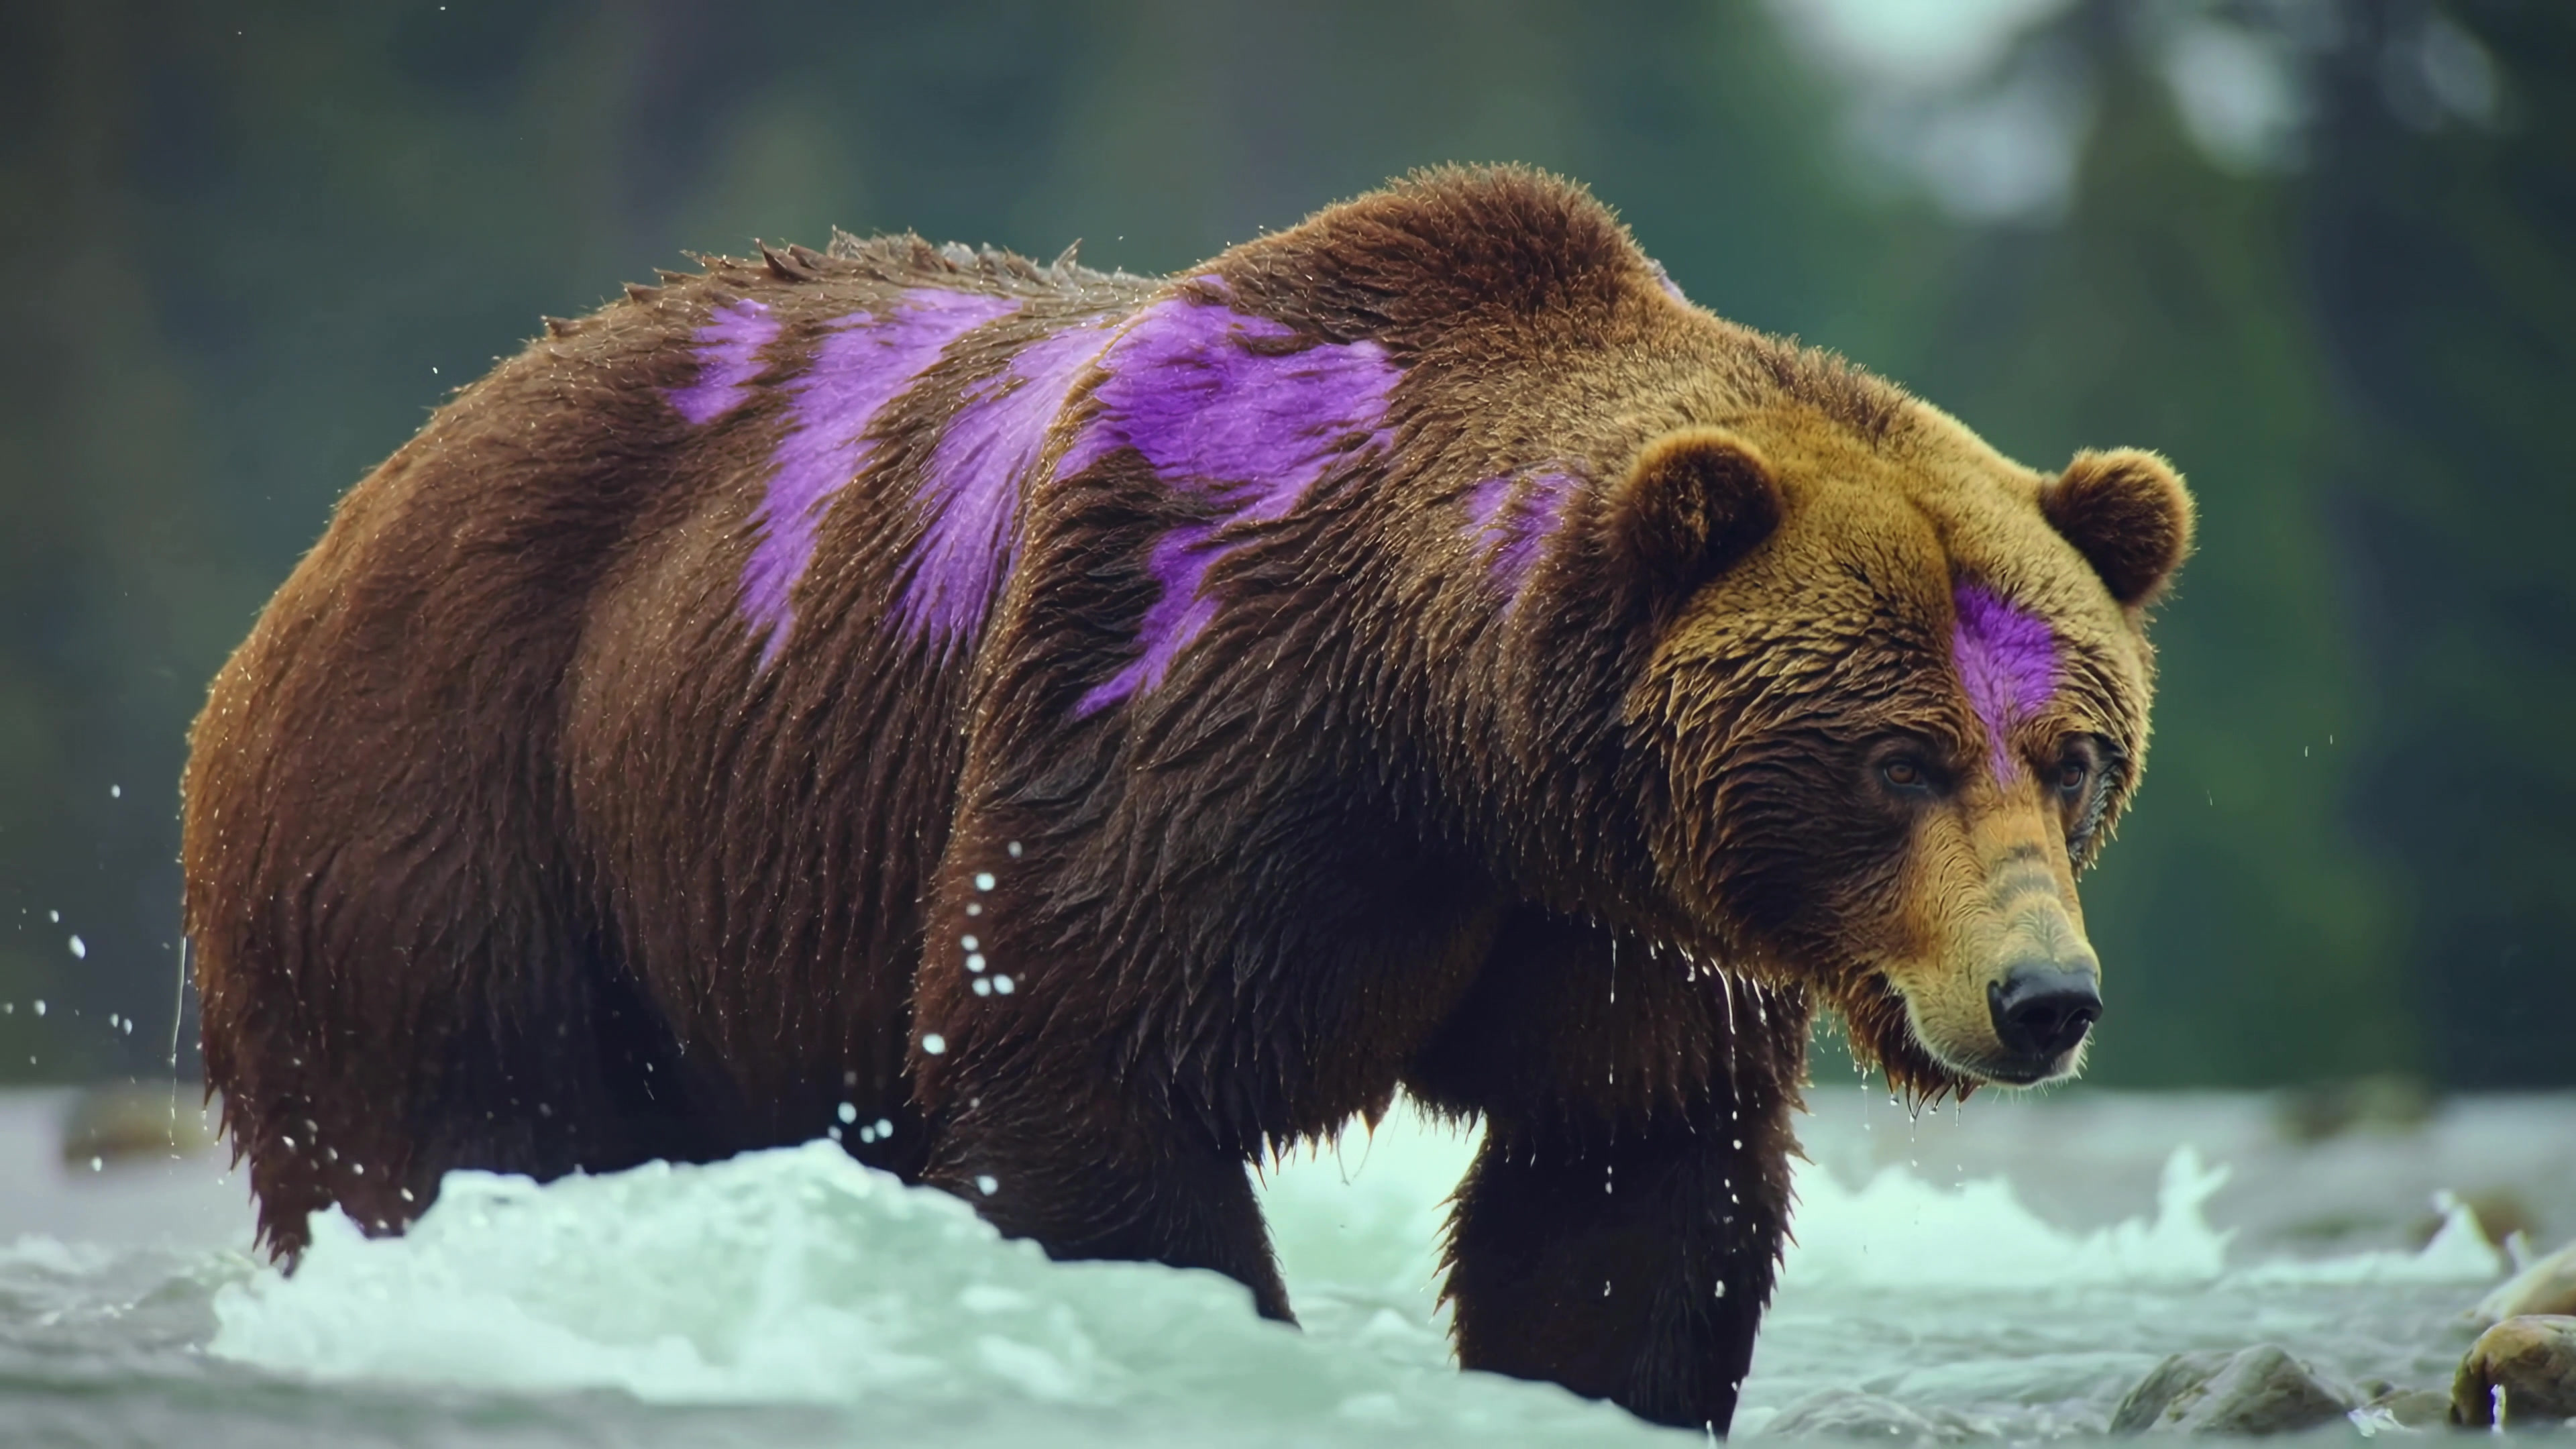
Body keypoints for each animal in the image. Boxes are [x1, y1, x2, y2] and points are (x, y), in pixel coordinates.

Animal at [181, 165, 2191, 1433]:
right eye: (1894, 754)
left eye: (2073, 753)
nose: (2041, 997)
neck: (1442, 738)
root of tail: (352, 513)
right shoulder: (1171, 714)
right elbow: (1087, 1086)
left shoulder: (1606, 922)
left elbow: (1623, 1186)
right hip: (463, 806)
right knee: (451, 1131)